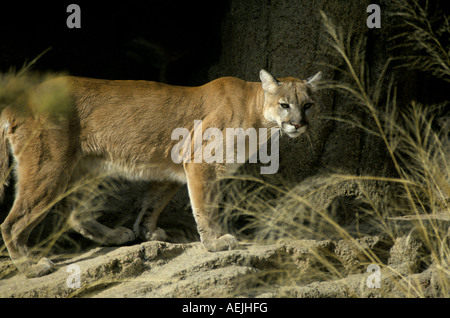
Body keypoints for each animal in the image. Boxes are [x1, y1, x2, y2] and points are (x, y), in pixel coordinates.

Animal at [1, 69, 322, 276]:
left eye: (308, 105)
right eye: (284, 105)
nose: (298, 124)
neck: (259, 116)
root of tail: (19, 101)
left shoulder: (171, 169)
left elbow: (152, 204)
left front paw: (147, 232)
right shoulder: (200, 162)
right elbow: (206, 207)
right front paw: (215, 243)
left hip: (87, 168)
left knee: (76, 213)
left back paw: (113, 236)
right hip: (49, 168)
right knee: (12, 224)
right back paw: (31, 268)